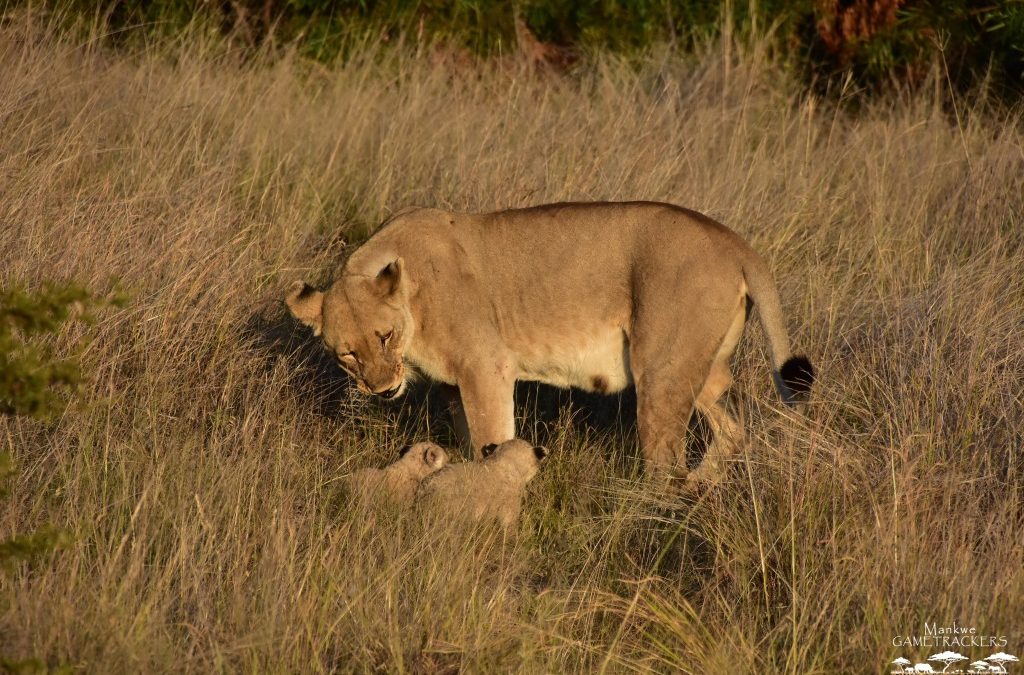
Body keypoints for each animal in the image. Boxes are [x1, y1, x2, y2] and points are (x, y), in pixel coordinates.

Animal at [287, 201, 814, 482]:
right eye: (347, 353)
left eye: (385, 335)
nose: (382, 389)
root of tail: (734, 241)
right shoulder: (454, 385)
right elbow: (468, 434)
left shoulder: (486, 366)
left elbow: (491, 436)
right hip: (698, 374)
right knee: (732, 428)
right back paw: (701, 487)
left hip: (661, 374)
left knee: (665, 462)